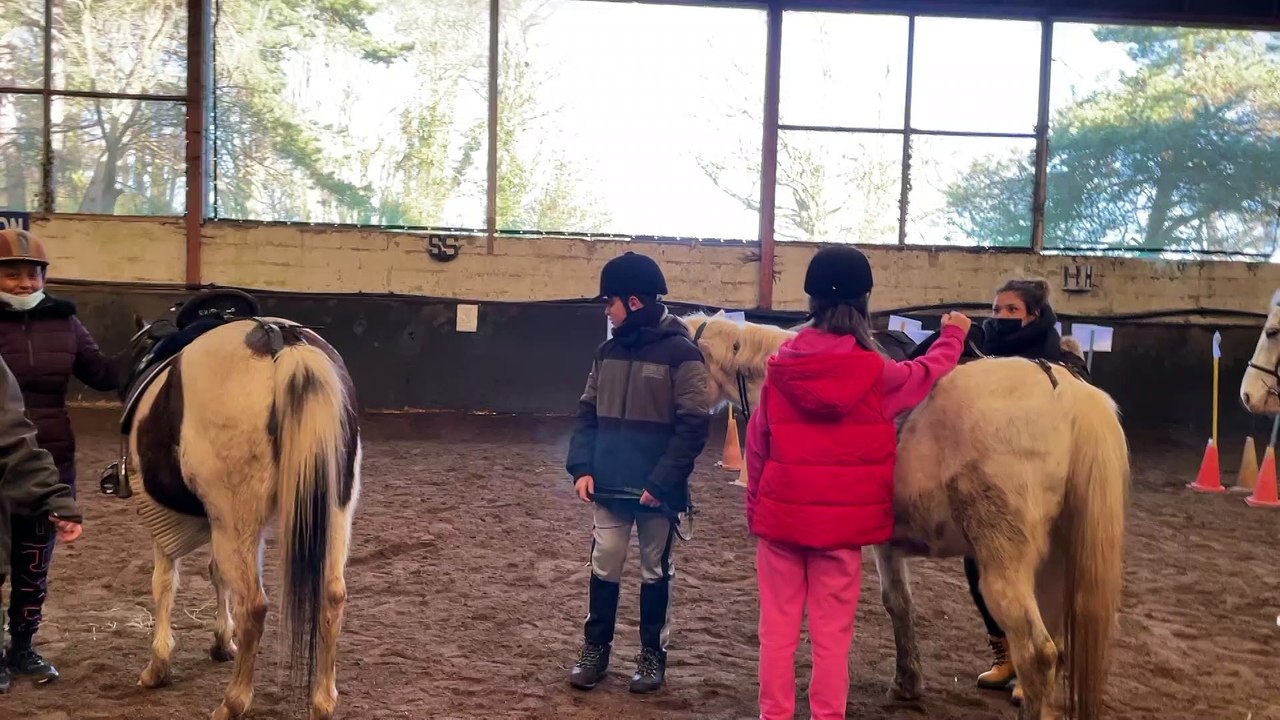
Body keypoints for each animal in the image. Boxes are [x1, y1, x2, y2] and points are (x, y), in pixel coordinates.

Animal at [109, 299, 362, 720]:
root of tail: (280, 342)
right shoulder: (221, 522)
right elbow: (216, 574)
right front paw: (220, 642)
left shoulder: (164, 515)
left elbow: (164, 582)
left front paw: (158, 666)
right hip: (332, 514)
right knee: (332, 595)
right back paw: (323, 701)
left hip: (236, 518)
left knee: (254, 606)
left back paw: (234, 700)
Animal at [683, 311, 1130, 720]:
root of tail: (1068, 395)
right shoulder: (890, 543)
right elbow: (901, 606)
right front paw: (908, 682)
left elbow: (888, 604)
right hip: (1056, 562)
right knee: (1058, 646)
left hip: (1005, 563)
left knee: (1037, 653)